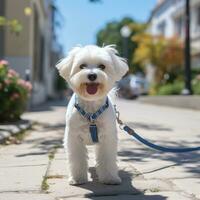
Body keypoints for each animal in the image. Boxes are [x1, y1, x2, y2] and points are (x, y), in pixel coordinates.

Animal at [55, 44, 128, 185]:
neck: (91, 111)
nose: (92, 75)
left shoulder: (107, 138)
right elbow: (77, 159)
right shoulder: (74, 137)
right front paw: (78, 178)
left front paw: (110, 178)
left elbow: (107, 158)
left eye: (102, 66)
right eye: (82, 66)